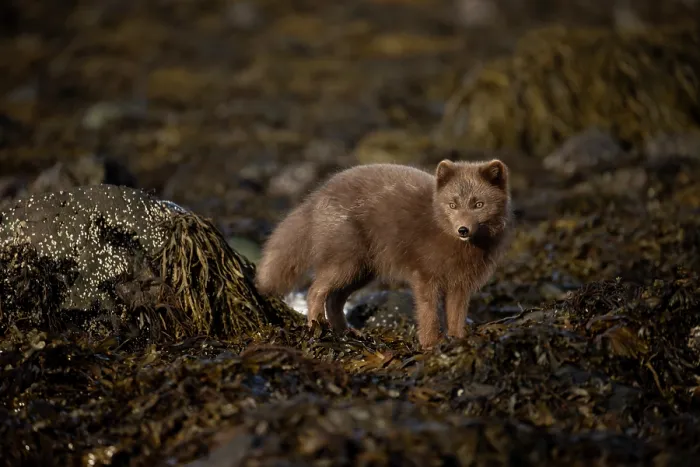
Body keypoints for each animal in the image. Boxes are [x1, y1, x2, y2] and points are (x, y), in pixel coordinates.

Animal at [255, 158, 514, 349]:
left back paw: (346, 332)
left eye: (478, 204)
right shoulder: (425, 277)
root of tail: (316, 196)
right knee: (315, 290)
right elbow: (429, 312)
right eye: (452, 204)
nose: (463, 230)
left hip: (362, 271)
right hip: (347, 262)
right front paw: (431, 344)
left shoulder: (461, 283)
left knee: (335, 299)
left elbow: (456, 315)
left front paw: (458, 340)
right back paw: (317, 327)